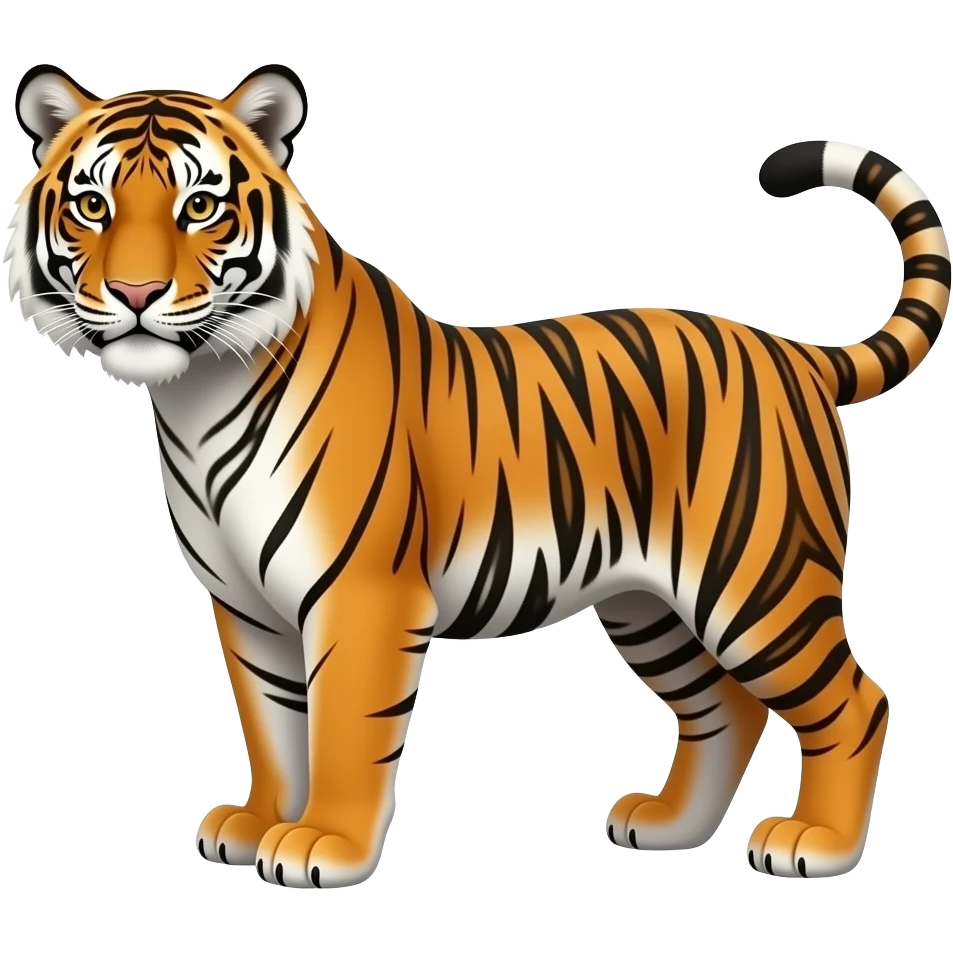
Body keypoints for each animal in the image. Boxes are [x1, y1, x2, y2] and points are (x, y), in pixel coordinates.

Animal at [6, 62, 949, 888]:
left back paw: (816, 843)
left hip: (756, 580)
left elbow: (342, 729)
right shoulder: (245, 605)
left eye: (199, 205)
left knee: (856, 700)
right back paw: (667, 825)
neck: (196, 392)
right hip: (649, 604)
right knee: (725, 708)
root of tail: (794, 352)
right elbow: (273, 722)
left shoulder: (360, 594)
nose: (135, 294)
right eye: (91, 205)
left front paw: (322, 845)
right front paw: (259, 820)